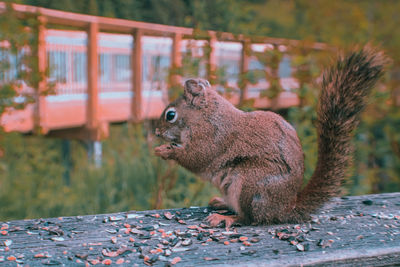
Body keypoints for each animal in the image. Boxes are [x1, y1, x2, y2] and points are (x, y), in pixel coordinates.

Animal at [155, 47, 386, 227]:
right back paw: (221, 203)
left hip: (250, 185)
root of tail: (285, 208)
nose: (156, 132)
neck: (206, 116)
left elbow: (197, 158)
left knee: (250, 219)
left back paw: (226, 218)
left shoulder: (214, 137)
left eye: (170, 115)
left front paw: (165, 151)